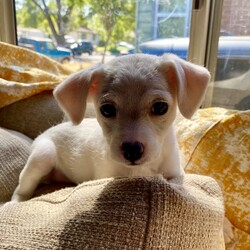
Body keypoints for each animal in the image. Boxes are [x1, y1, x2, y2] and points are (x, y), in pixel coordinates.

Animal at [10, 53, 210, 202]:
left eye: (160, 107)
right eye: (107, 109)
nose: (132, 150)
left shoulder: (175, 172)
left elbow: (176, 182)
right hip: (42, 156)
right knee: (22, 188)